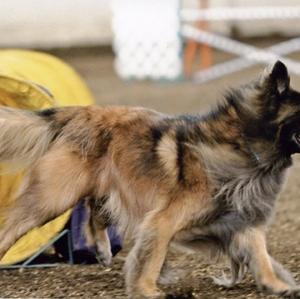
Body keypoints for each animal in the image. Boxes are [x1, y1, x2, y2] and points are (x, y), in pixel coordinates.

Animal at [0, 60, 300, 298]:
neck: (242, 145)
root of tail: (80, 112)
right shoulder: (162, 220)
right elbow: (152, 258)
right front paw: (146, 289)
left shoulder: (243, 220)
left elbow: (261, 256)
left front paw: (277, 285)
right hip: (54, 196)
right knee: (12, 224)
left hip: (108, 187)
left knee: (94, 213)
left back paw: (103, 250)